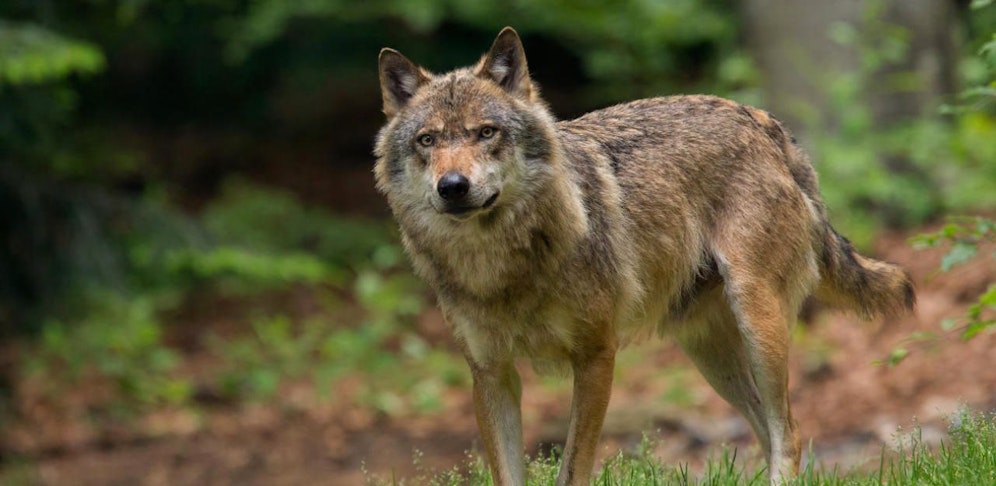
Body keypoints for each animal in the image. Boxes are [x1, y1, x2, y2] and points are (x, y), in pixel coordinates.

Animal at [373, 27, 914, 485]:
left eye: (486, 132)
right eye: (427, 141)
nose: (452, 187)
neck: (499, 267)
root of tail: (760, 119)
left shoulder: (596, 357)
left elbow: (573, 468)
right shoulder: (490, 376)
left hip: (758, 324)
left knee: (791, 432)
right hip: (709, 355)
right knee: (766, 429)